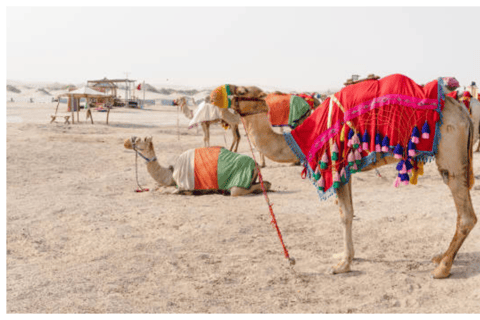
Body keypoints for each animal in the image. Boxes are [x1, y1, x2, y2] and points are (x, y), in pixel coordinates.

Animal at [124, 135, 270, 195]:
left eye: (139, 139)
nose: (126, 141)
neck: (171, 173)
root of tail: (256, 164)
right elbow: (158, 186)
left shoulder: (183, 184)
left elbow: (164, 190)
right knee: (267, 183)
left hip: (238, 184)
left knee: (237, 190)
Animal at [214, 76, 476, 278]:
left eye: (242, 91)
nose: (214, 94)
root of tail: (464, 113)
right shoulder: (346, 168)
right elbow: (348, 212)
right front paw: (345, 256)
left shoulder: (335, 163)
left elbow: (345, 215)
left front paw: (343, 265)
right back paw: (440, 256)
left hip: (449, 151)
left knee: (466, 215)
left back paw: (443, 268)